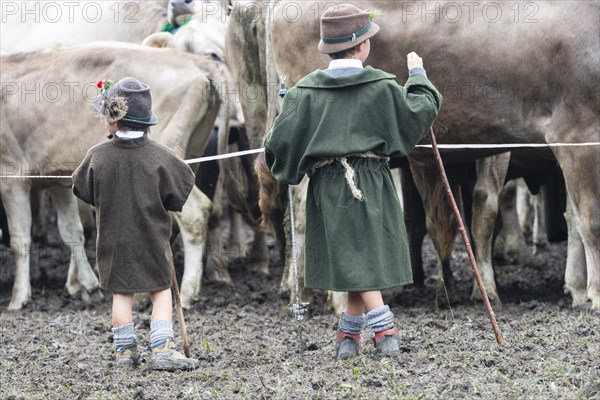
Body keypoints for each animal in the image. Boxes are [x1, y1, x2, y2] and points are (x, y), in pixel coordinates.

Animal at [1, 41, 226, 310]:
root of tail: (198, 61)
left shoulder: (11, 176)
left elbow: (19, 239)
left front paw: (18, 298)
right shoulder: (53, 177)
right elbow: (72, 230)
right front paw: (88, 287)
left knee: (195, 214)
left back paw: (188, 292)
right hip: (192, 153)